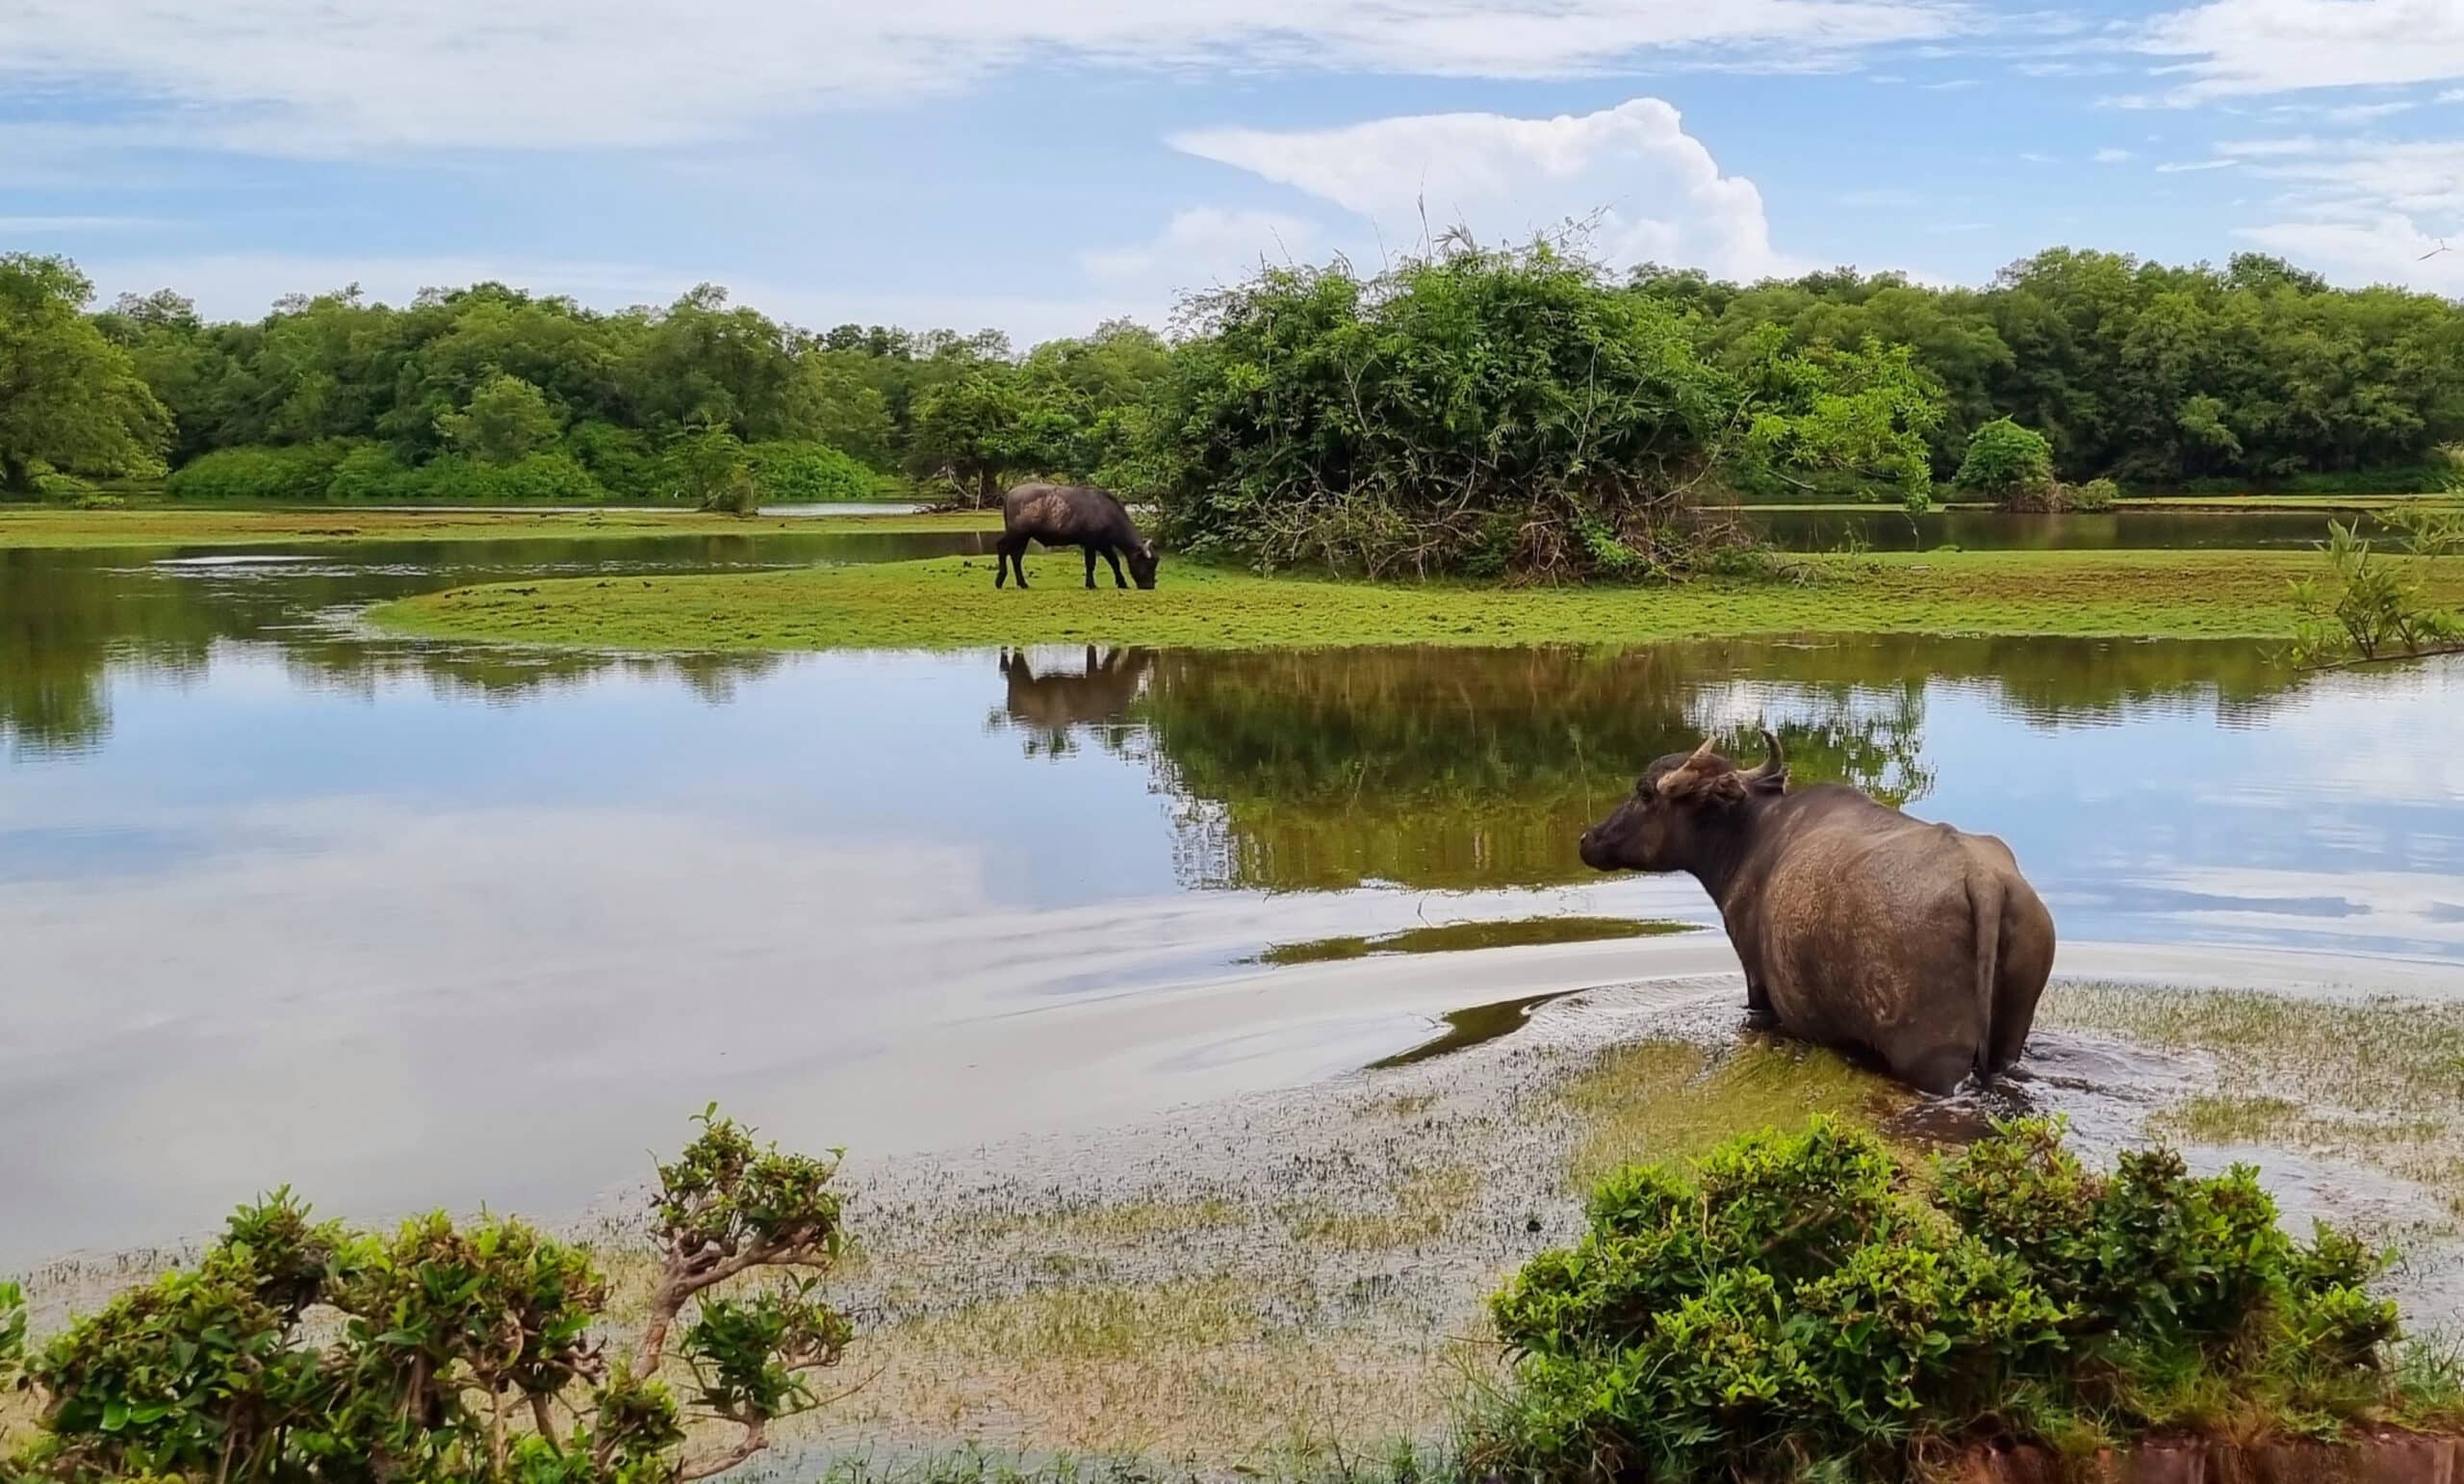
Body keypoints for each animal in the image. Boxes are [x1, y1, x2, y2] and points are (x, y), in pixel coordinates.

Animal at [995, 475, 1158, 586]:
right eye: (1148, 564)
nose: (1149, 586)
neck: (1107, 512)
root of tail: (1010, 493)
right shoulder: (1091, 544)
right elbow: (1091, 564)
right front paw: (1091, 584)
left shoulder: (1104, 544)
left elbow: (1114, 562)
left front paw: (1122, 583)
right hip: (1017, 533)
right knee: (1002, 547)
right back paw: (1000, 579)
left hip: (1024, 537)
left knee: (1016, 556)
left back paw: (1022, 583)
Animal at [1586, 729, 2049, 1085]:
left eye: (1644, 792)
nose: (1588, 839)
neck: (1748, 838)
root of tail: (1982, 878)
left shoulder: (1756, 981)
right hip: (2009, 1038)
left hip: (1935, 1058)